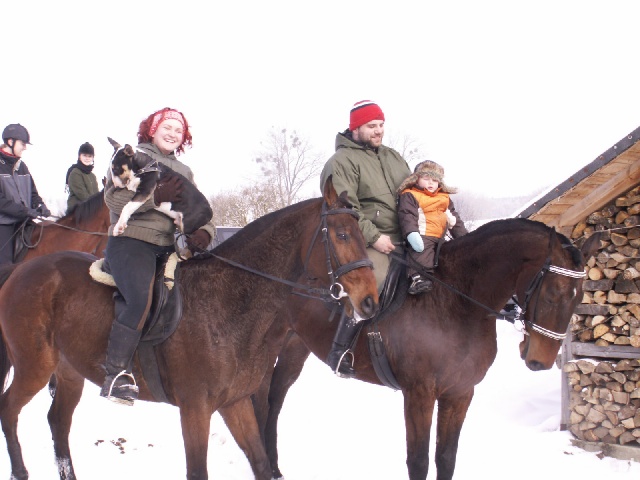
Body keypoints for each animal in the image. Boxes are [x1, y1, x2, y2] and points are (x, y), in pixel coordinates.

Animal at [0, 178, 379, 480]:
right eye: (343, 235)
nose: (371, 301)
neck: (229, 301)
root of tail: (20, 270)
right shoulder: (195, 409)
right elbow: (198, 471)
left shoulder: (234, 403)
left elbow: (260, 463)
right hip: (34, 366)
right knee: (9, 408)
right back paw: (20, 471)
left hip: (68, 372)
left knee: (58, 422)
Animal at [253, 218, 601, 480]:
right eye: (553, 294)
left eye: (580, 295)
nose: (540, 361)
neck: (454, 301)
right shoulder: (419, 392)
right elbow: (418, 461)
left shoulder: (460, 393)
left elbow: (446, 458)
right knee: (265, 401)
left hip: (296, 348)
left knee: (275, 398)